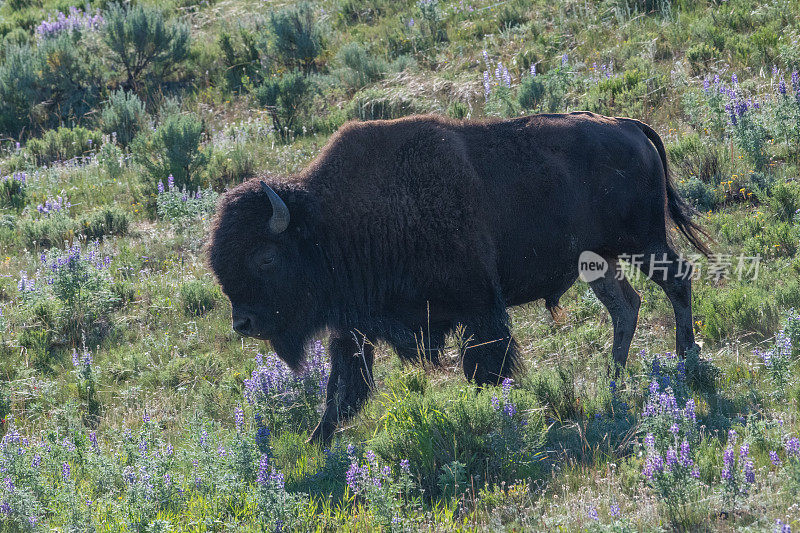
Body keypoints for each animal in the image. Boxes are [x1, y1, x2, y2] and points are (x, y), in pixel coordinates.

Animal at [206, 111, 708, 440]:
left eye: (265, 258)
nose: (242, 323)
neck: (331, 222)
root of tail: (629, 126)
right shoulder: (353, 328)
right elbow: (342, 386)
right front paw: (317, 440)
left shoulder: (479, 307)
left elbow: (485, 364)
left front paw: (495, 412)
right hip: (599, 261)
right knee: (626, 305)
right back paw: (613, 377)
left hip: (644, 242)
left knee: (677, 280)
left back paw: (686, 356)